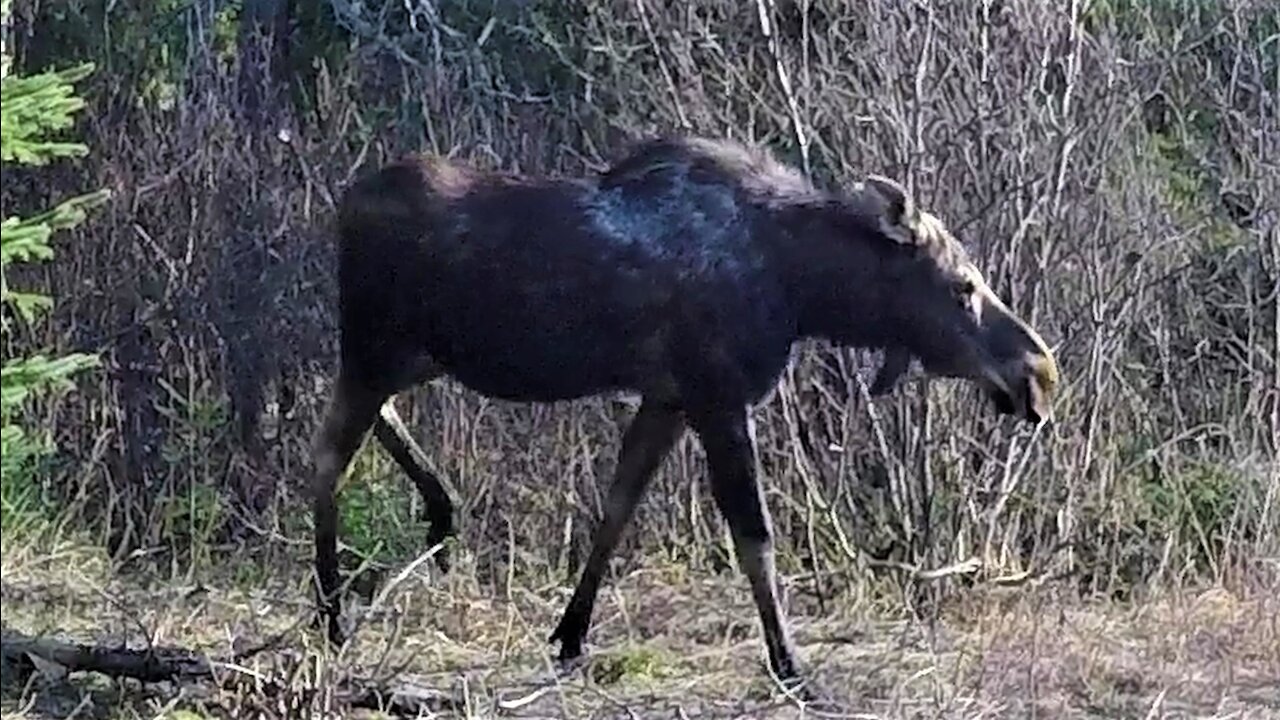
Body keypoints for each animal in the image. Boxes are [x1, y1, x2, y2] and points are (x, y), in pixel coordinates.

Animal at [312, 135, 1059, 681]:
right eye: (962, 286)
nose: (1040, 374)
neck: (806, 291)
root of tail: (341, 205)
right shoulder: (718, 396)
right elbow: (754, 536)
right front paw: (788, 661)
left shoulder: (669, 400)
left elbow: (617, 510)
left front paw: (570, 634)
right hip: (375, 347)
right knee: (328, 460)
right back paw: (333, 616)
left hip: (412, 355)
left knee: (372, 425)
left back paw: (437, 512)